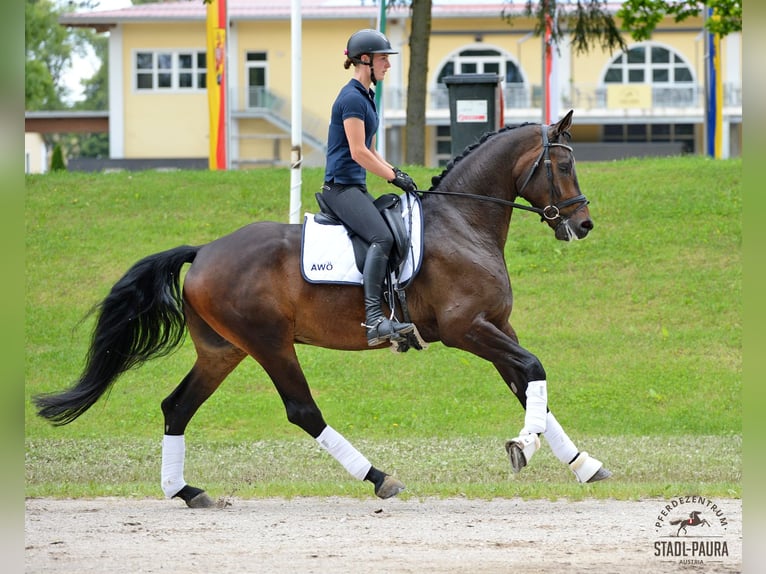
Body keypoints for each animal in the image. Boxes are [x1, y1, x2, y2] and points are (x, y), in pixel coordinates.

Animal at [34, 109, 612, 508]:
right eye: (563, 164)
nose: (582, 225)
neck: (463, 223)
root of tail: (204, 251)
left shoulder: (496, 326)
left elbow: (527, 384)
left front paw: (582, 464)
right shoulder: (466, 329)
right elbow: (533, 369)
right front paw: (523, 448)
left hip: (223, 350)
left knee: (177, 407)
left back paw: (186, 491)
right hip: (269, 343)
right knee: (302, 411)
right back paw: (379, 478)